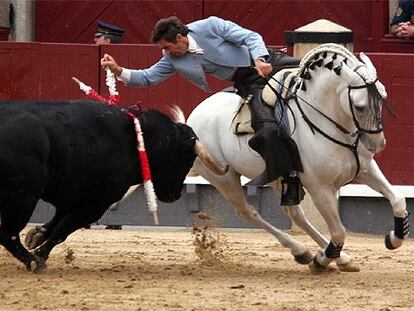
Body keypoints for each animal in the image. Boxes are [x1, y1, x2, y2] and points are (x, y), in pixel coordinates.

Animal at [0, 100, 217, 272]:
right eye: (187, 159)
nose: (174, 195)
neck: (137, 139)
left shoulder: (75, 196)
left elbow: (57, 223)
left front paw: (36, 236)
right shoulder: (95, 205)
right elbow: (62, 231)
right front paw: (40, 254)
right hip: (22, 197)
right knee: (8, 234)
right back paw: (35, 263)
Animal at [187, 44, 408, 272]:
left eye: (383, 97)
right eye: (359, 106)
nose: (377, 144)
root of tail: (194, 115)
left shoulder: (365, 169)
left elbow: (398, 199)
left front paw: (393, 239)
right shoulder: (320, 188)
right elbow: (339, 231)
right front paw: (321, 261)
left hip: (278, 177)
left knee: (294, 214)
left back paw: (328, 256)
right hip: (224, 179)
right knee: (247, 212)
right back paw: (304, 251)